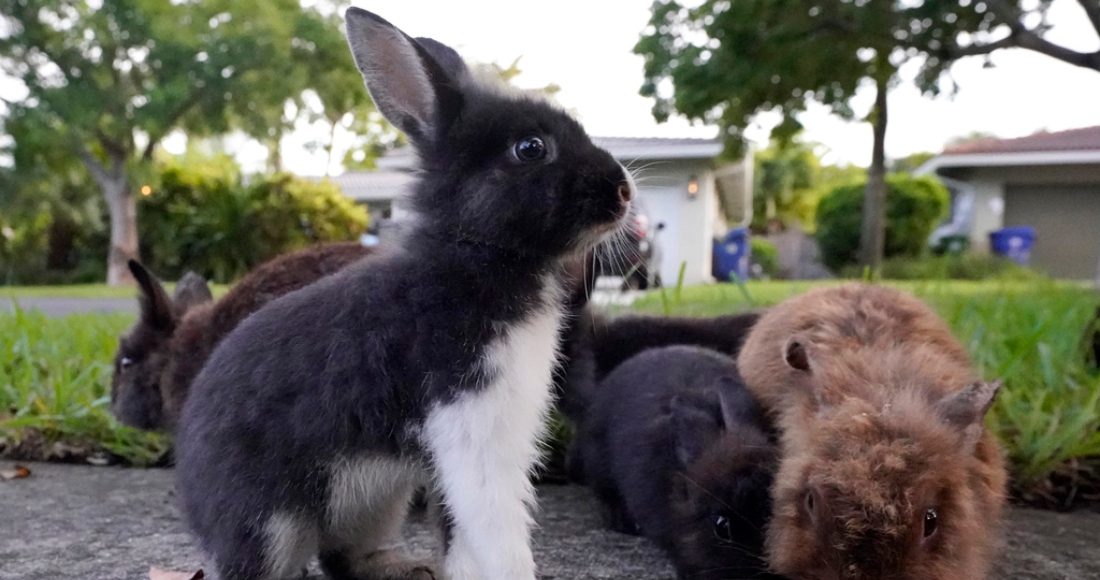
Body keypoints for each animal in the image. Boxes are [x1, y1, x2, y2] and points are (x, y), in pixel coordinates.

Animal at [174, 7, 633, 580]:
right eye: (530, 148)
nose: (623, 191)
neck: (475, 254)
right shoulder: (472, 424)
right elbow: (496, 530)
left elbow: (462, 536)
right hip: (268, 525)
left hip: (377, 501)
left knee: (341, 557)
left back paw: (409, 569)